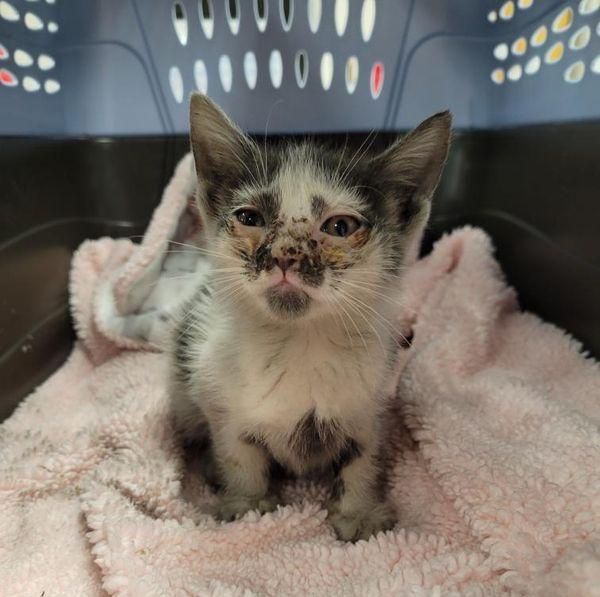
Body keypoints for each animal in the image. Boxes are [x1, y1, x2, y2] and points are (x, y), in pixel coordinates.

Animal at [169, 92, 450, 540]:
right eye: (249, 218)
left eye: (340, 226)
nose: (285, 255)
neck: (301, 343)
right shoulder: (220, 400)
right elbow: (240, 457)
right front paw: (246, 507)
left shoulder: (370, 409)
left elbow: (362, 462)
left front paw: (360, 515)